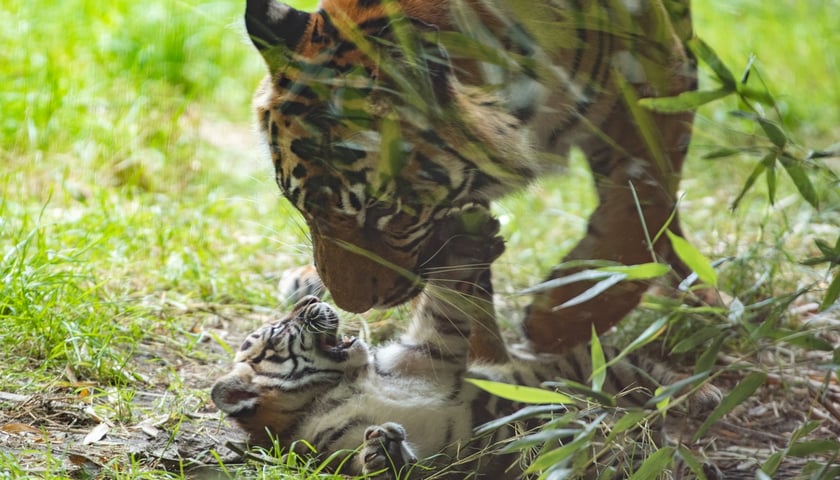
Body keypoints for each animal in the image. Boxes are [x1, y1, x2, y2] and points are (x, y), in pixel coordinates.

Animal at [246, 0, 700, 352]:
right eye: (300, 208)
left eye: (384, 210)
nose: (353, 306)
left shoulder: (661, 77)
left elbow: (642, 205)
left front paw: (561, 317)